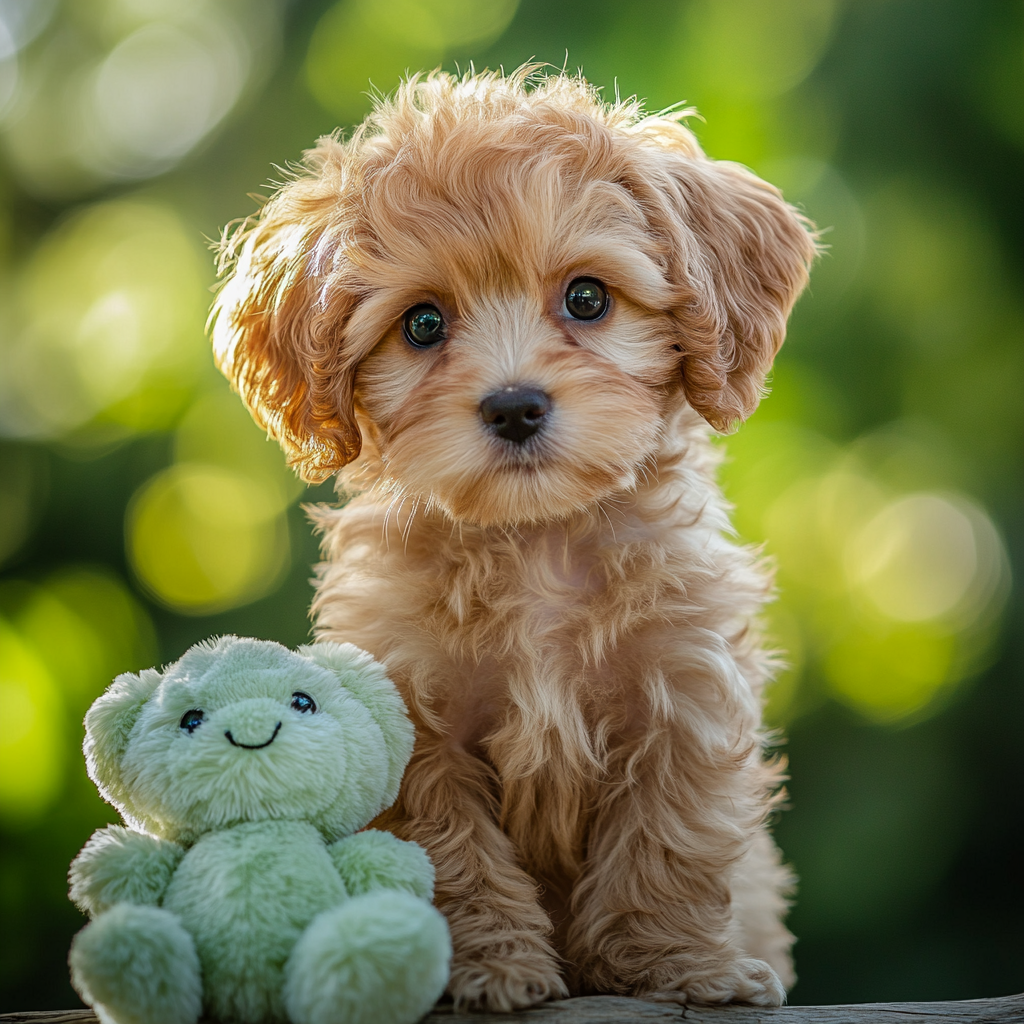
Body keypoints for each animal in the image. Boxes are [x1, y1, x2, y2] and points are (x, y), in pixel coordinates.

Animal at [209, 68, 815, 1011]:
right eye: (422, 325)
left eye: (588, 299)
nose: (515, 405)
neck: (535, 546)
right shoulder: (411, 723)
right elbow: (449, 851)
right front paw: (489, 968)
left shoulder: (682, 696)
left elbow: (667, 841)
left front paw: (677, 967)